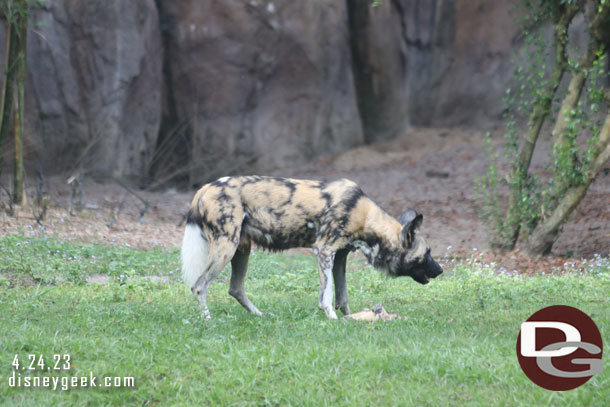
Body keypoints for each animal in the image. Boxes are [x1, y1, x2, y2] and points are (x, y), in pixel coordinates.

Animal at [180, 177, 442, 320]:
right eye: (427, 254)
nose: (440, 270)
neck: (366, 218)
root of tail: (205, 188)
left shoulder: (340, 256)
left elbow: (342, 295)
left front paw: (351, 318)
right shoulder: (324, 251)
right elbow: (327, 295)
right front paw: (333, 318)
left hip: (241, 249)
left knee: (235, 288)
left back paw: (260, 316)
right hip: (226, 247)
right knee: (199, 286)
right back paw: (208, 320)